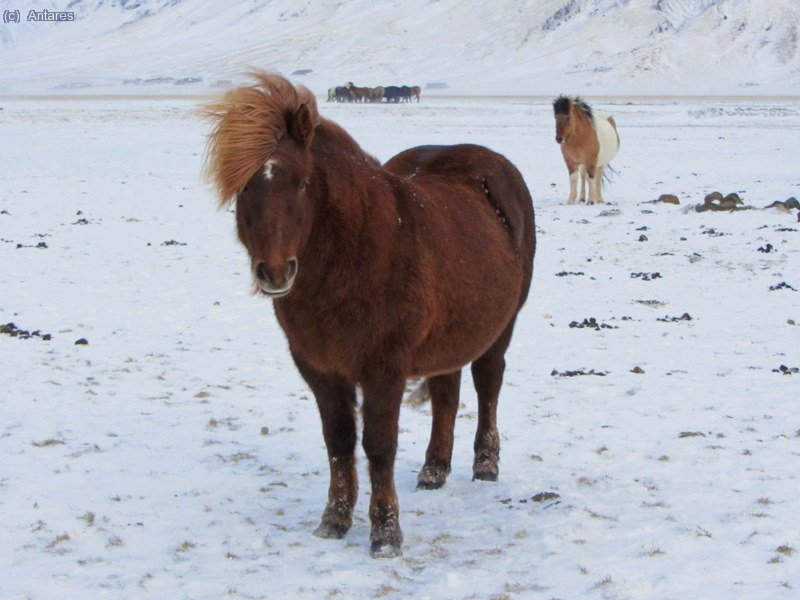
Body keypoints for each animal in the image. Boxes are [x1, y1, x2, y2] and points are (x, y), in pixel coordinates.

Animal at [202, 71, 535, 558]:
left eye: (302, 183)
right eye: (244, 187)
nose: (275, 272)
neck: (357, 253)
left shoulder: (384, 367)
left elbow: (379, 445)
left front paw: (385, 534)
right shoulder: (318, 368)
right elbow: (339, 441)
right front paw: (334, 520)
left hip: (500, 328)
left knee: (488, 385)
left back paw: (486, 465)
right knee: (446, 394)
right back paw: (434, 470)